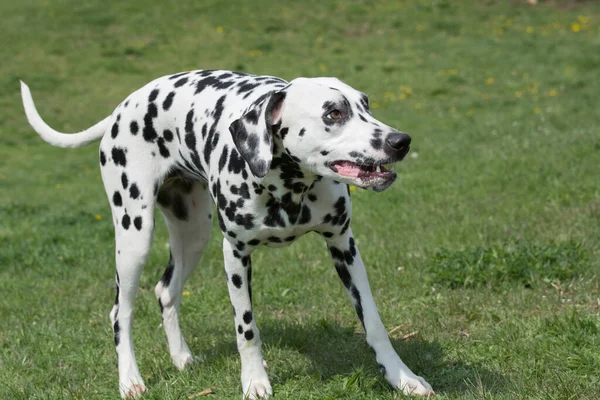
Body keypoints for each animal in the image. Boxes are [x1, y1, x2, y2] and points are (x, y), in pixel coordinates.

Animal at [18, 70, 432, 398]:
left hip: (193, 235)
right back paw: (130, 380)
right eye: (334, 113)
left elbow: (374, 322)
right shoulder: (235, 254)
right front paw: (255, 382)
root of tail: (123, 108)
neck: (289, 187)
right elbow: (246, 328)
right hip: (134, 238)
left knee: (165, 291)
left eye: (366, 106)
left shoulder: (344, 245)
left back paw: (181, 358)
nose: (401, 141)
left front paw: (402, 377)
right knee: (121, 312)